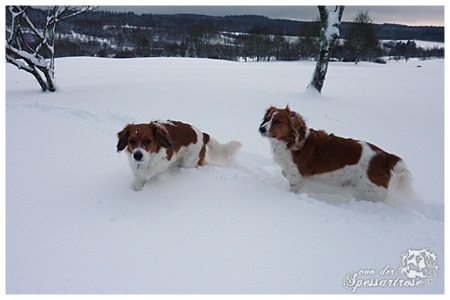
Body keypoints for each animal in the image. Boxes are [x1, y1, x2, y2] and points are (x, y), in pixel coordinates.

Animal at [258, 105, 414, 202]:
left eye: (277, 121)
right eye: (267, 118)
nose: (261, 129)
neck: (292, 140)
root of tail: (384, 155)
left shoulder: (296, 176)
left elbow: (292, 183)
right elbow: (284, 172)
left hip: (371, 192)